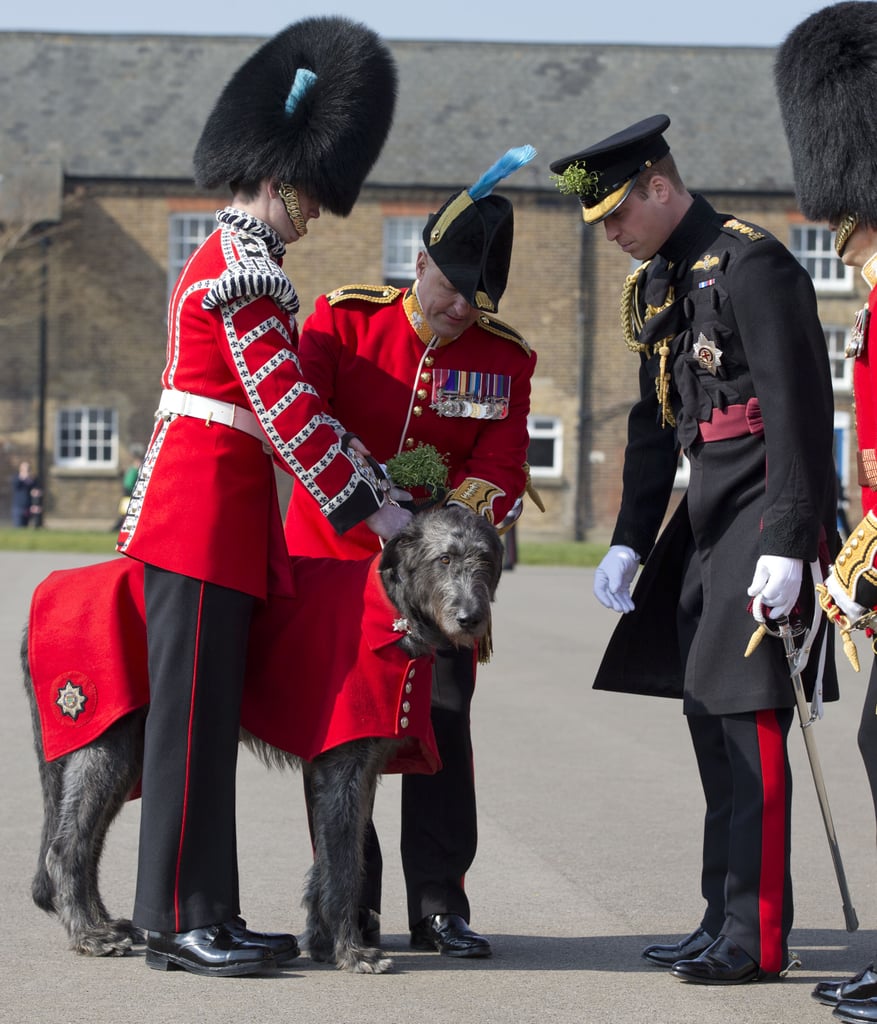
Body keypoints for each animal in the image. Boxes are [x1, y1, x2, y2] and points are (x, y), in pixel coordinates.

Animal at [22, 507, 499, 970]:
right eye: (444, 559)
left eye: (486, 561)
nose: (470, 619)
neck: (388, 610)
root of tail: (45, 593)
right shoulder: (343, 764)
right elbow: (345, 862)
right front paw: (351, 950)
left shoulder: (359, 768)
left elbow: (332, 859)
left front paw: (323, 942)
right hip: (107, 741)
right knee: (66, 847)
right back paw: (91, 934)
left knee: (87, 841)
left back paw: (104, 923)